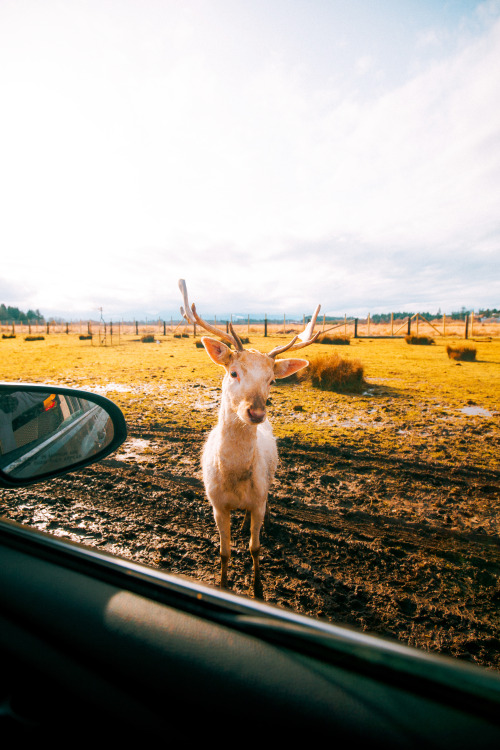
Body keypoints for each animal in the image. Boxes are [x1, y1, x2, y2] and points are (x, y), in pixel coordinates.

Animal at [180, 280, 320, 604]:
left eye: (271, 380)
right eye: (233, 372)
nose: (256, 412)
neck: (234, 478)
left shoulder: (258, 500)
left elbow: (256, 548)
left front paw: (257, 588)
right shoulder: (217, 504)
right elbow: (224, 551)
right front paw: (223, 583)